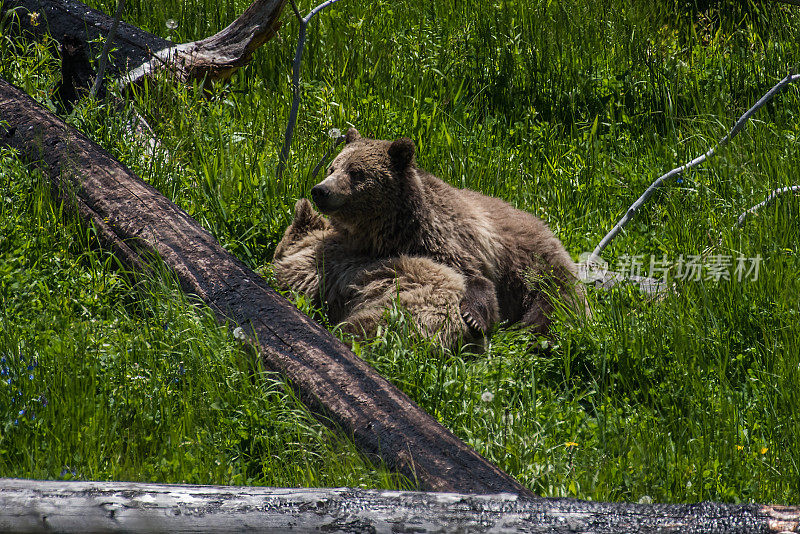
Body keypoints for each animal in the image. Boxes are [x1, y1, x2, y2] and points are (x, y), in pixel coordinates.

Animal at [310, 126, 584, 336]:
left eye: (356, 172)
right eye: (332, 168)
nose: (320, 190)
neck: (390, 230)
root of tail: (548, 227)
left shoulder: (448, 239)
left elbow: (474, 276)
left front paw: (474, 318)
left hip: (537, 268)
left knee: (554, 306)